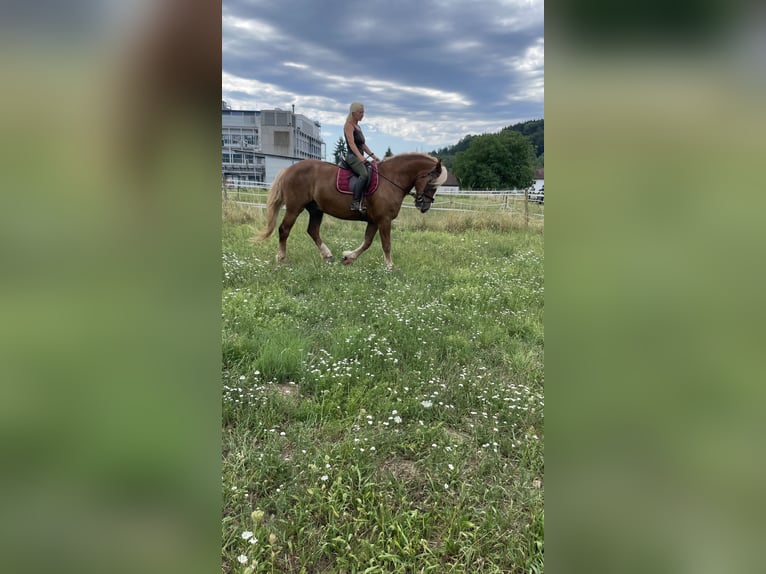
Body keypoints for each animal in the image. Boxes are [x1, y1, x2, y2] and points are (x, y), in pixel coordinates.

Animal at [258, 153, 450, 270]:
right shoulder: (384, 220)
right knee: (284, 229)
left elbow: (367, 242)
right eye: (432, 183)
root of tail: (289, 169)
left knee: (313, 231)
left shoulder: (374, 221)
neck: (391, 179)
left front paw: (349, 257)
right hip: (294, 207)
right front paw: (390, 266)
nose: (424, 207)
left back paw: (327, 255)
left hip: (316, 209)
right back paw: (282, 258)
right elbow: (386, 244)